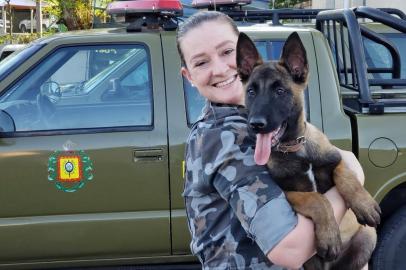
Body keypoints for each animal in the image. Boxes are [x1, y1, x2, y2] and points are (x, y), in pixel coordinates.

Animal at [236, 32, 382, 270]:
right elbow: (317, 199)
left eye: (280, 91)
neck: (297, 148)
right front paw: (329, 236)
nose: (255, 124)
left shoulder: (338, 158)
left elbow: (345, 175)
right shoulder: (287, 192)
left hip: (368, 239)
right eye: (251, 91)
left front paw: (364, 204)